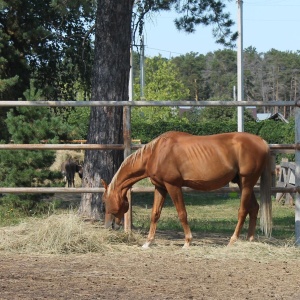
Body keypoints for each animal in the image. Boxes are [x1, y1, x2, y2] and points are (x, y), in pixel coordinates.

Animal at [101, 130, 272, 247]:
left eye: (105, 200)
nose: (109, 226)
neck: (156, 153)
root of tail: (262, 141)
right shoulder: (160, 187)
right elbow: (155, 214)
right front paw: (148, 242)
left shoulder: (173, 186)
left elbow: (182, 213)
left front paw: (187, 242)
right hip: (244, 184)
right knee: (254, 208)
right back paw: (249, 240)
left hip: (247, 182)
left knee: (243, 211)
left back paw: (232, 240)